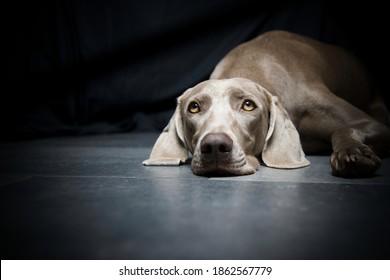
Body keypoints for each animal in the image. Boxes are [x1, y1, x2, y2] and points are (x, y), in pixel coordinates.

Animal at [143, 30, 390, 177]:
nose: (214, 146)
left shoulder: (374, 125)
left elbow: (344, 128)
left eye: (248, 105)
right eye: (194, 107)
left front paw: (351, 153)